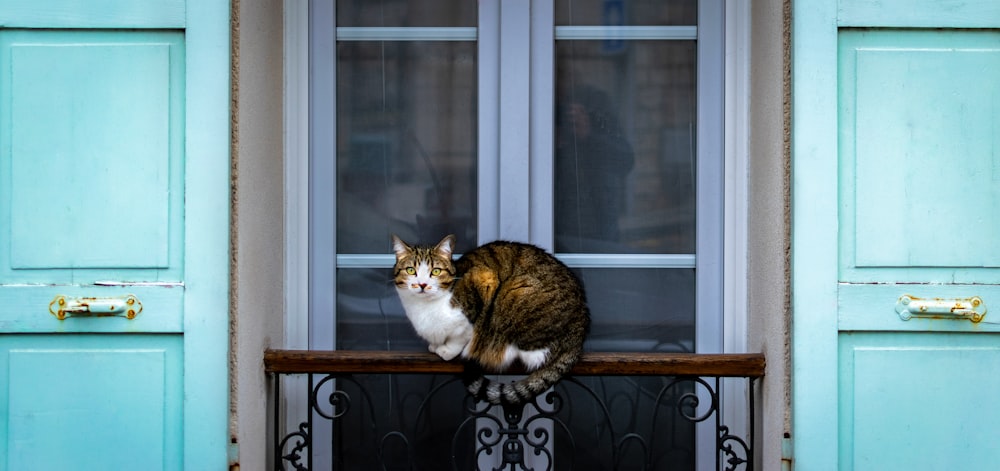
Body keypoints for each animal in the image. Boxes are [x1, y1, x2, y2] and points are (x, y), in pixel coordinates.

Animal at [392, 234, 592, 404]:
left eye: (435, 271)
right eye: (411, 270)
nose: (422, 284)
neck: (425, 306)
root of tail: (580, 328)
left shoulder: (484, 281)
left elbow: (462, 335)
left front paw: (447, 350)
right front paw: (435, 346)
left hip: (514, 294)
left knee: (536, 353)